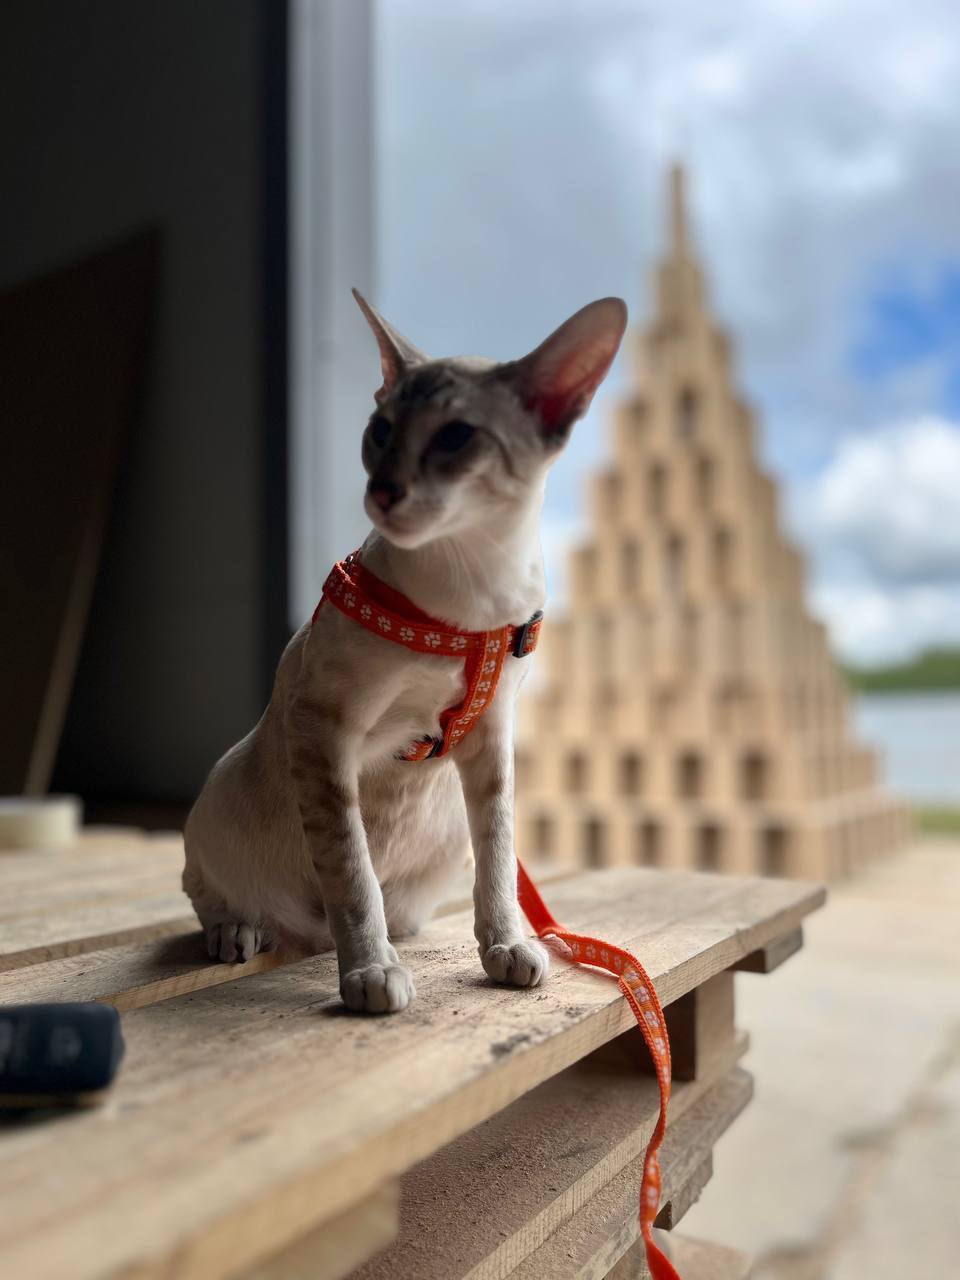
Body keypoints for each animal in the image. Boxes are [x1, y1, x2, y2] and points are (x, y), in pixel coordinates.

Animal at [183, 288, 627, 1008]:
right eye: (382, 431)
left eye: (455, 437)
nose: (383, 490)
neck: (470, 597)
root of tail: (309, 937)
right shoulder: (324, 731)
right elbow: (351, 872)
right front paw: (370, 973)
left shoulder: (493, 736)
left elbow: (497, 859)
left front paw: (506, 947)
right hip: (225, 786)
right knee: (210, 889)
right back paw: (241, 931)